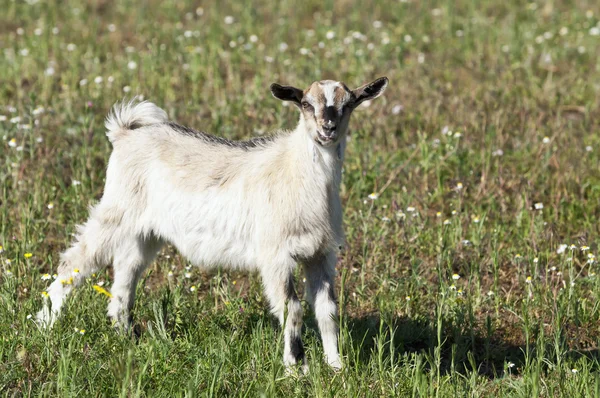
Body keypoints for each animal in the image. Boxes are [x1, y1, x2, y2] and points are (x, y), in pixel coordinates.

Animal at [36, 77, 390, 370]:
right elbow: (292, 309)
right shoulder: (275, 254)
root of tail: (125, 132)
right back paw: (45, 324)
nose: (327, 128)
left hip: (145, 230)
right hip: (117, 209)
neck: (297, 173)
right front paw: (296, 368)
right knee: (76, 260)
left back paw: (124, 334)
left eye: (349, 104)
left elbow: (327, 309)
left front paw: (336, 367)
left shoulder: (320, 254)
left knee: (127, 269)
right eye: (305, 104)